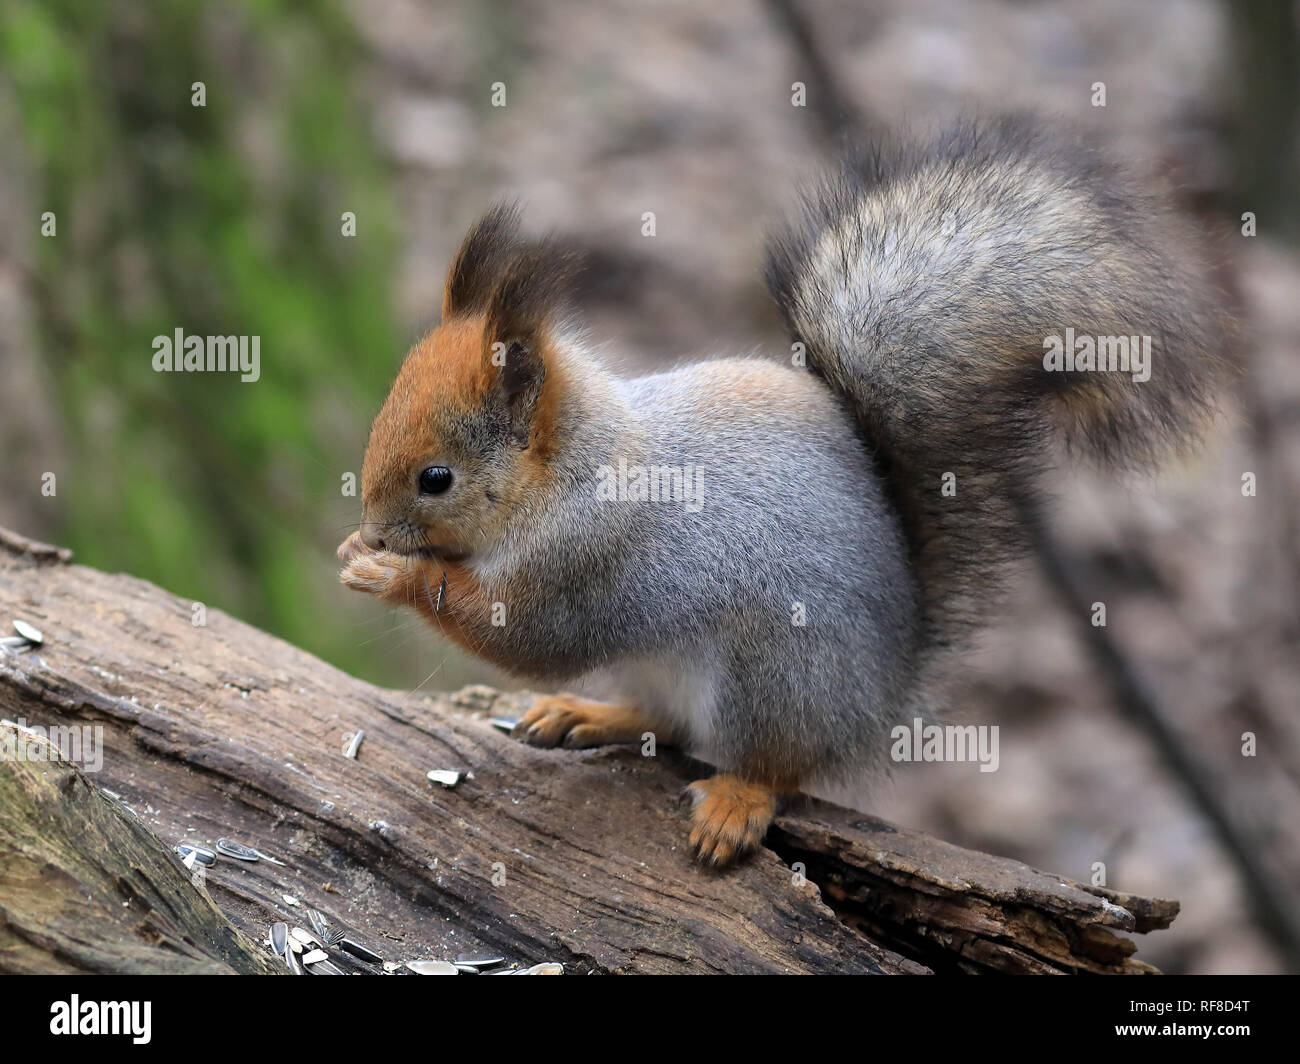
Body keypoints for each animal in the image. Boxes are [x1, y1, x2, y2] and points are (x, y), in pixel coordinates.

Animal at [338, 115, 1227, 863]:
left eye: (437, 479)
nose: (372, 528)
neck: (577, 469)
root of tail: (878, 704)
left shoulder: (593, 557)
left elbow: (524, 635)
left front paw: (391, 572)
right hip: (661, 668)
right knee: (667, 722)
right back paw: (588, 712)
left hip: (774, 672)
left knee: (778, 767)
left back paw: (737, 801)